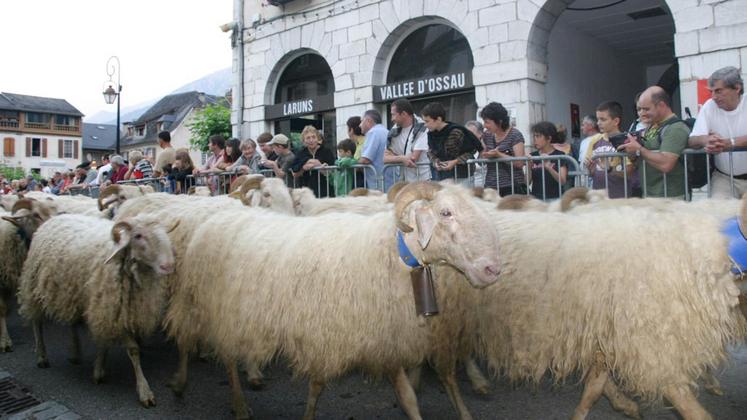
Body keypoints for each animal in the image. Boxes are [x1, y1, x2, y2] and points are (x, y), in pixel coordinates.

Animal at [17, 213, 177, 406]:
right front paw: (144, 390)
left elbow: (103, 341)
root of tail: (53, 219)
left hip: (71, 293)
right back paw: (41, 356)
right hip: (34, 287)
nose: (168, 266)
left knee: (71, 321)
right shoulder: (112, 309)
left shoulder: (105, 308)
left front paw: (98, 370)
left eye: (165, 233)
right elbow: (133, 349)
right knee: (37, 322)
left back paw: (75, 352)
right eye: (138, 236)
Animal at [164, 183, 502, 420]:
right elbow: (318, 386)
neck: (391, 251)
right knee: (194, 342)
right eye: (446, 213)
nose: (493, 269)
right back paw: (196, 388)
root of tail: (219, 214)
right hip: (207, 304)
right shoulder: (327, 334)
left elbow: (407, 396)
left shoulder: (382, 336)